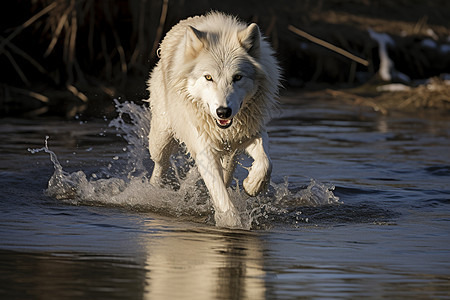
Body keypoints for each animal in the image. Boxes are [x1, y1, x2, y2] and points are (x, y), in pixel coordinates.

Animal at [147, 11, 282, 227]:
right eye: (208, 77)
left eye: (237, 77)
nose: (223, 112)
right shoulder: (204, 149)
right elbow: (219, 193)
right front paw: (232, 223)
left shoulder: (251, 132)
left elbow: (266, 162)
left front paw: (252, 185)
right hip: (162, 139)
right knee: (161, 164)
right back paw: (154, 192)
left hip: (230, 150)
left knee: (226, 171)